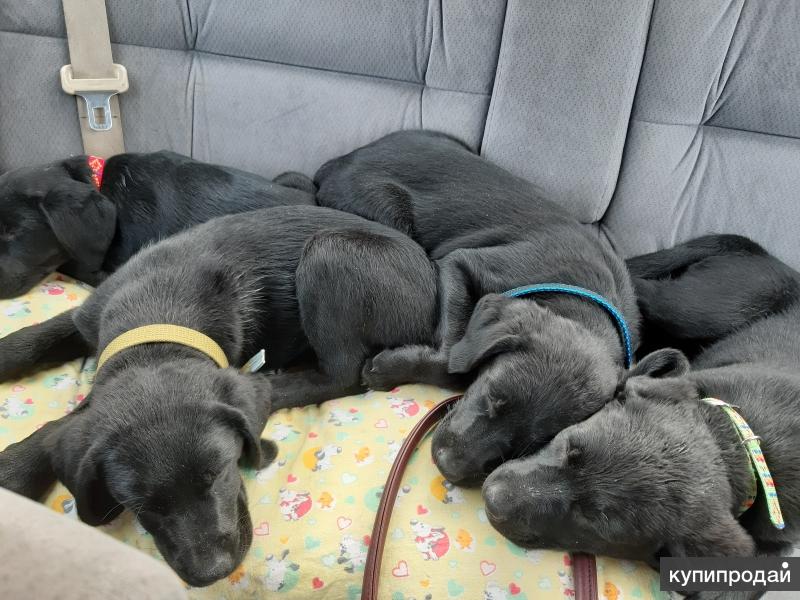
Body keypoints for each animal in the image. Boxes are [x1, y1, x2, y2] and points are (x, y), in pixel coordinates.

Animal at [0, 204, 438, 584]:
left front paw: (16, 468)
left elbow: (73, 415)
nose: (212, 572)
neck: (159, 305)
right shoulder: (90, 317)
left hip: (330, 252)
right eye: (141, 507)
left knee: (344, 373)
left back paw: (273, 382)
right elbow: (33, 340)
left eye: (221, 473)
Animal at [316, 130, 640, 482]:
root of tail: (341, 161)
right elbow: (452, 360)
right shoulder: (461, 263)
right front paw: (387, 368)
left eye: (533, 443)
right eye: (493, 396)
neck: (583, 291)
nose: (448, 467)